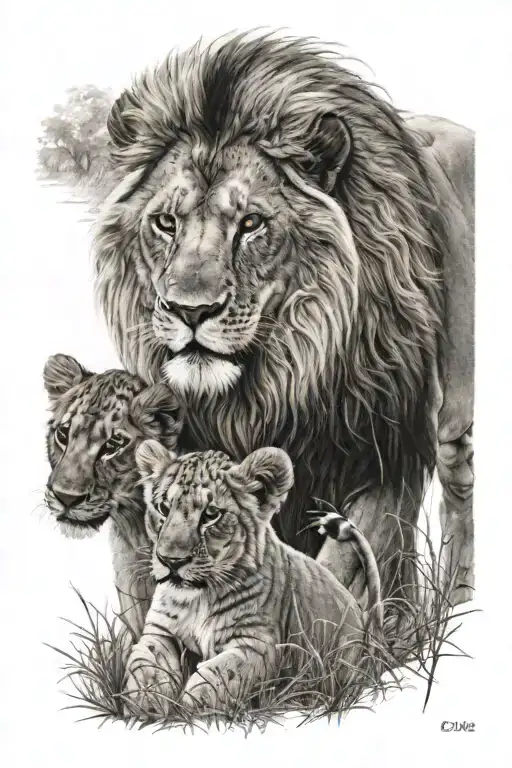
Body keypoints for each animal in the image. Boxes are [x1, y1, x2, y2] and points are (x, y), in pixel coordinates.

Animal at [94, 34, 474, 606]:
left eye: (251, 223)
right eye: (165, 222)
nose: (190, 310)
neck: (274, 385)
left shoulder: (390, 448)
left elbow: (339, 567)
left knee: (459, 492)